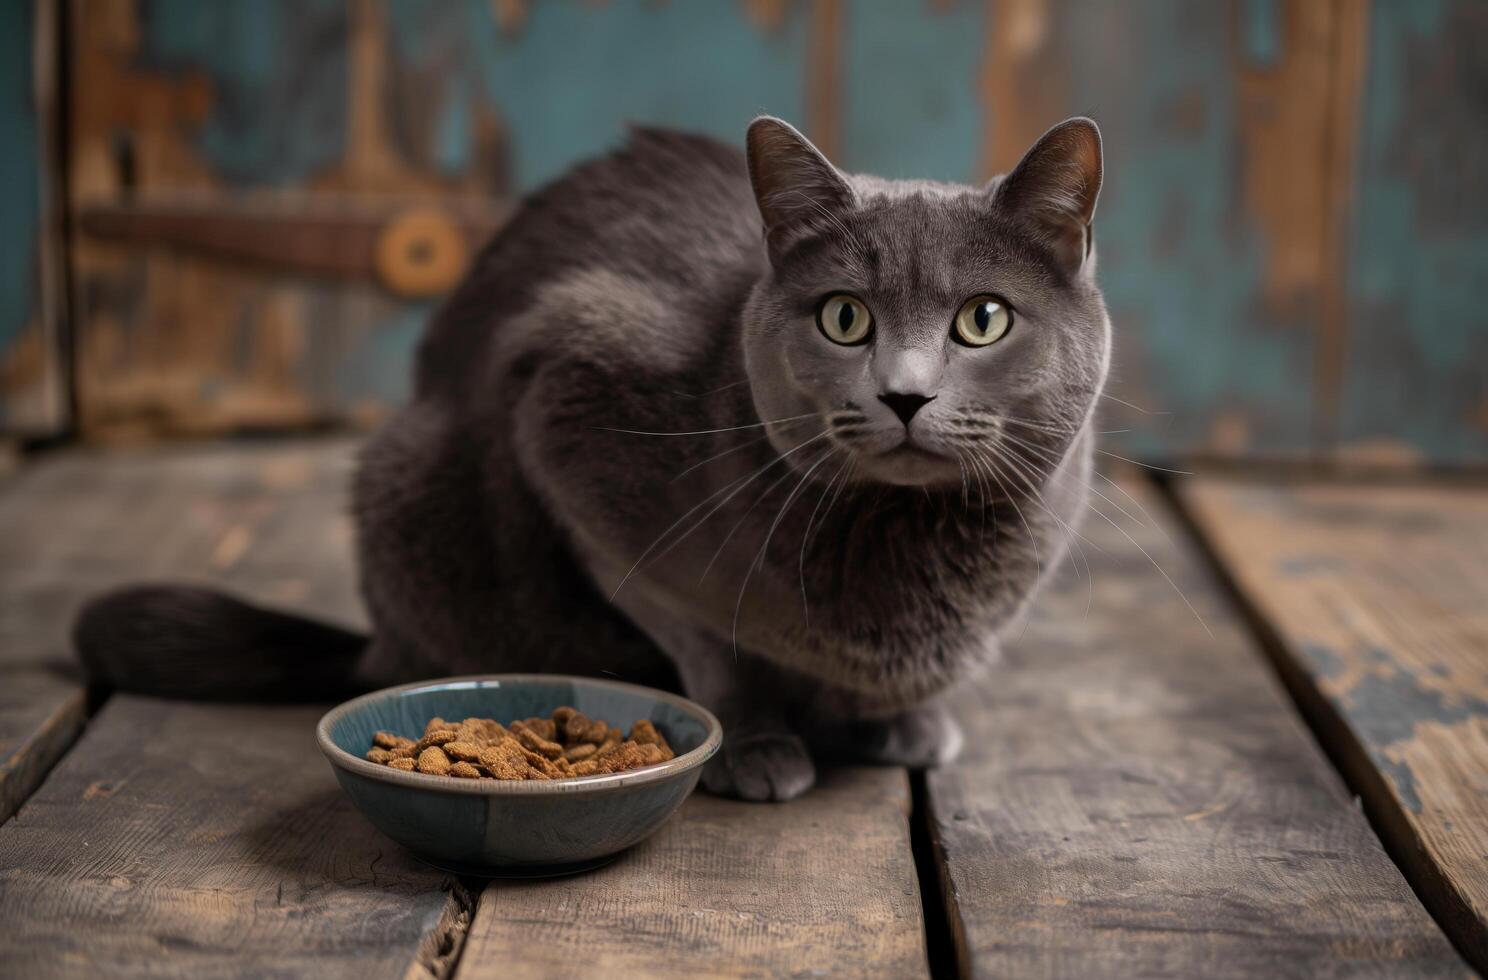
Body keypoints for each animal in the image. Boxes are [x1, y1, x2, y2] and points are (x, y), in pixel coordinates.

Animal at [75, 116, 1113, 803]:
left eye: (983, 319)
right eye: (846, 317)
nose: (904, 393)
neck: (906, 544)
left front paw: (907, 724)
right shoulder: (568, 410)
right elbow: (702, 635)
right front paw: (756, 743)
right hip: (412, 480)